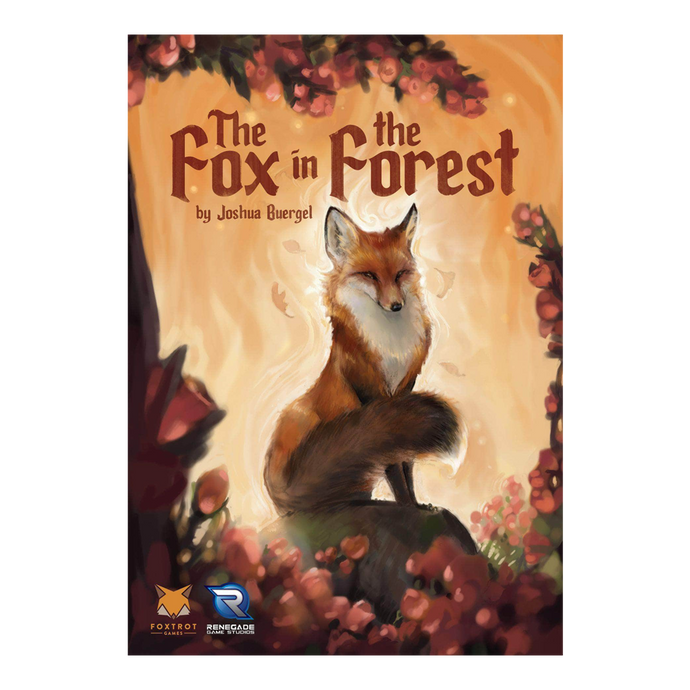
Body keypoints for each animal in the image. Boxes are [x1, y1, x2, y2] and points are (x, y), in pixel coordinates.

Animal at [264, 204, 462, 516]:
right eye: (369, 275)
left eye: (400, 274)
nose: (396, 305)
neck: (391, 346)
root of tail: (280, 497)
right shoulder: (372, 395)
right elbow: (394, 466)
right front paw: (406, 505)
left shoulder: (404, 395)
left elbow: (406, 462)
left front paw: (416, 504)